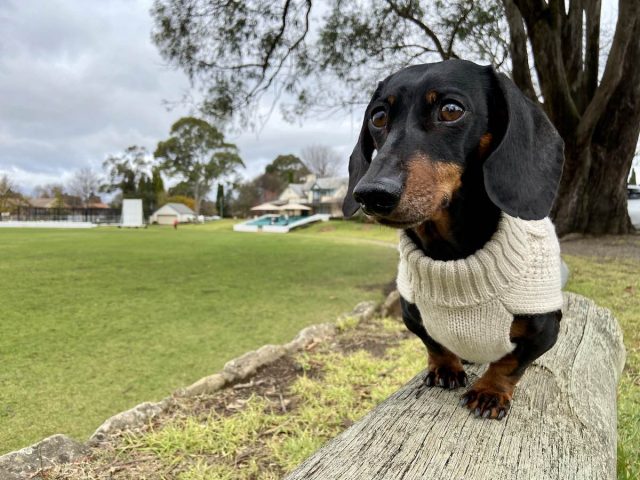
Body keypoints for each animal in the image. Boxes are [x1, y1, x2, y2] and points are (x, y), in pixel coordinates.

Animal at [344, 60, 564, 420]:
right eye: (377, 117)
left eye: (451, 110)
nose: (371, 194)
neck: (453, 260)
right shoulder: (411, 314)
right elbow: (434, 343)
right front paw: (445, 367)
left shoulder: (545, 329)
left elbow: (511, 363)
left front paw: (490, 392)